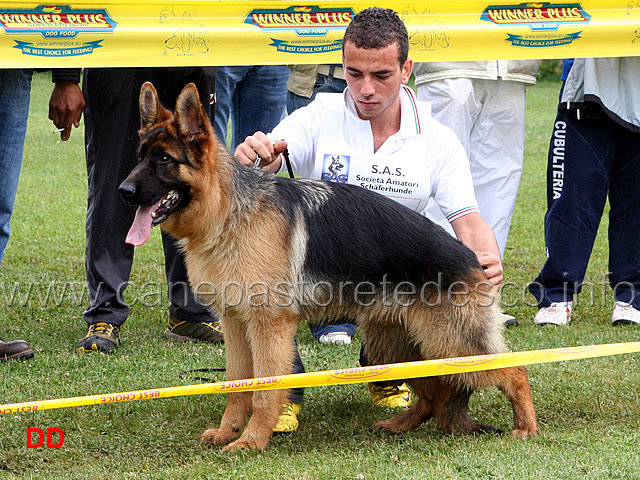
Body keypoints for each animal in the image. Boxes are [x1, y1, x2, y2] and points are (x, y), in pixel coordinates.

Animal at [117, 80, 536, 452]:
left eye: (164, 159)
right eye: (140, 157)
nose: (123, 192)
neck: (230, 211)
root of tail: (473, 260)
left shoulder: (268, 327)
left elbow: (264, 390)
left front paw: (251, 441)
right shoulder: (236, 323)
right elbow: (237, 384)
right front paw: (227, 432)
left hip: (451, 344)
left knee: (516, 370)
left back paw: (526, 427)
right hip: (397, 347)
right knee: (433, 395)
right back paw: (399, 425)